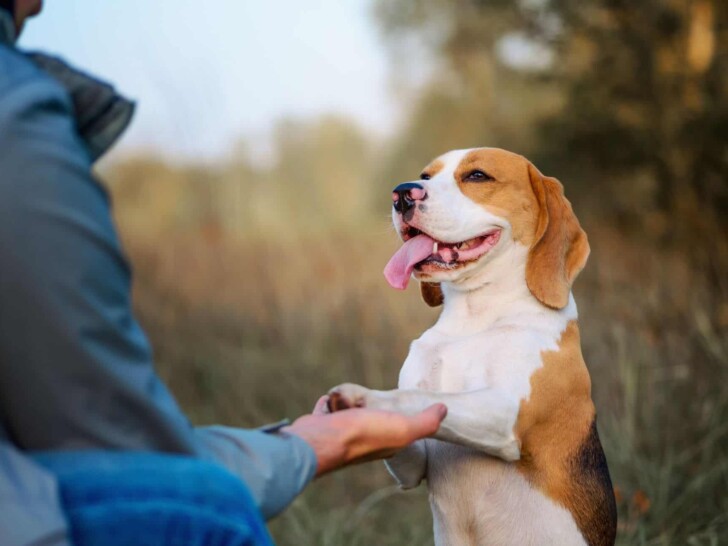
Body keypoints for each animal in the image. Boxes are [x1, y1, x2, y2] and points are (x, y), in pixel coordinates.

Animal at [330, 147, 620, 540]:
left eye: (477, 176)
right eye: (425, 175)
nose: (402, 194)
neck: (474, 318)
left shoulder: (505, 413)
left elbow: (418, 397)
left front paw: (364, 399)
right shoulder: (415, 465)